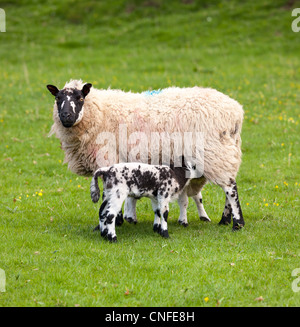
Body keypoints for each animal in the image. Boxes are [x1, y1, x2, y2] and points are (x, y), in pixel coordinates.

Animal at [47, 80, 244, 231]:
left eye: (80, 98)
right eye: (57, 98)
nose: (66, 116)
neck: (99, 112)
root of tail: (236, 112)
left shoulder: (108, 157)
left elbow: (108, 195)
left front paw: (113, 221)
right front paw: (124, 219)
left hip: (214, 152)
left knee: (230, 188)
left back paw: (237, 223)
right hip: (225, 152)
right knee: (229, 184)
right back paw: (225, 220)